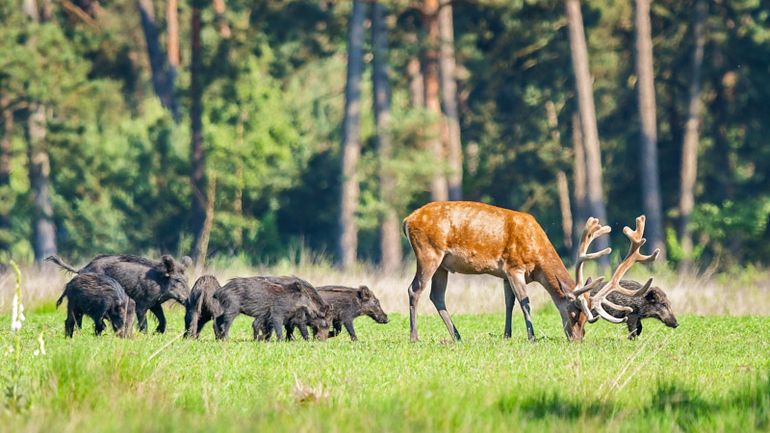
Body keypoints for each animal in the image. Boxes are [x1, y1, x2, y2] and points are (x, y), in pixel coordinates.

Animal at [400, 202, 656, 340]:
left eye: (586, 317)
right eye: (575, 312)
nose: (577, 338)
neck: (538, 262)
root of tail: (407, 220)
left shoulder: (504, 274)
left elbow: (509, 302)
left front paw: (507, 335)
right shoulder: (514, 267)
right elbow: (525, 302)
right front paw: (531, 336)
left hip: (443, 264)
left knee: (436, 296)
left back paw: (457, 335)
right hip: (428, 252)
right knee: (415, 289)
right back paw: (414, 337)